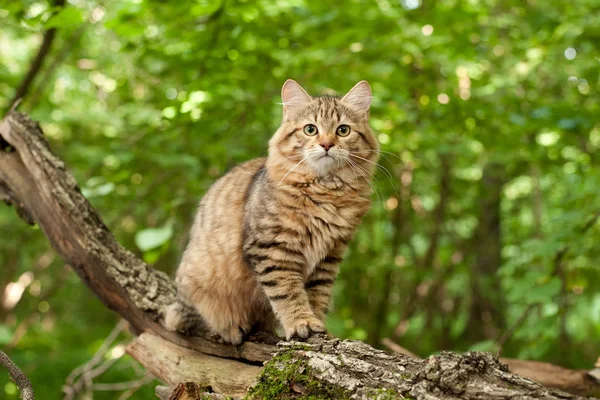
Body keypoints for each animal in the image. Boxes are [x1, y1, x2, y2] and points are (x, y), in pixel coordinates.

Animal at [164, 79, 380, 344]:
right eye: (310, 130)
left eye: (343, 130)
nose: (327, 145)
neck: (325, 191)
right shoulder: (273, 249)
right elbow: (287, 293)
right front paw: (301, 323)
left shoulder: (329, 256)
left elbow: (317, 297)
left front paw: (319, 325)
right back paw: (232, 328)